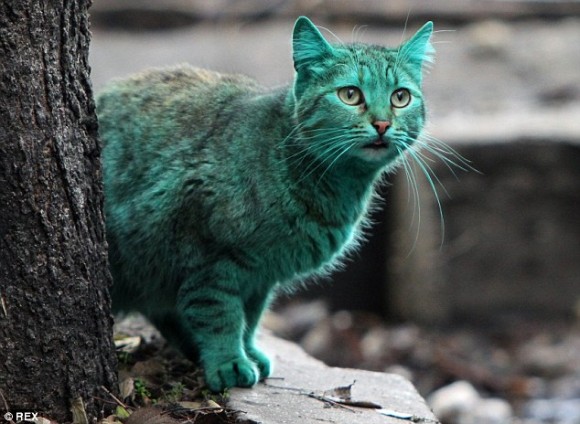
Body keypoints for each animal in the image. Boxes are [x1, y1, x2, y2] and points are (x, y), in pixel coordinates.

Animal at [98, 17, 436, 394]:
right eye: (350, 95)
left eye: (400, 97)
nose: (382, 123)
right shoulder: (210, 260)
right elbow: (221, 315)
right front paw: (229, 361)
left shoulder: (261, 276)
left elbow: (250, 318)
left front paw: (247, 352)